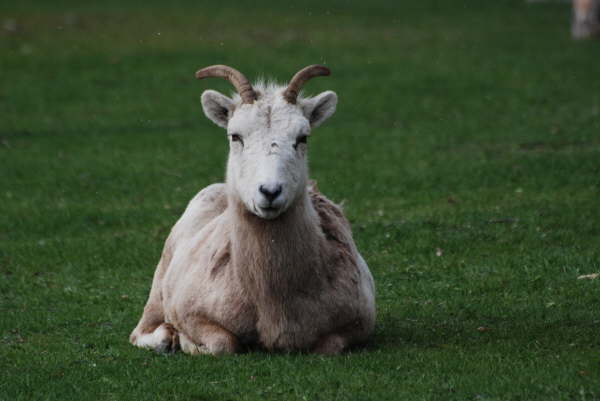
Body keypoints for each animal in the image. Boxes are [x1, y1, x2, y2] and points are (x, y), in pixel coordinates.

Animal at [130, 65, 376, 354]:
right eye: (235, 136)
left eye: (302, 137)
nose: (269, 191)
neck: (270, 301)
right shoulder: (191, 314)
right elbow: (222, 344)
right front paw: (185, 341)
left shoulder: (356, 324)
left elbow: (329, 347)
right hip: (157, 292)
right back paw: (167, 337)